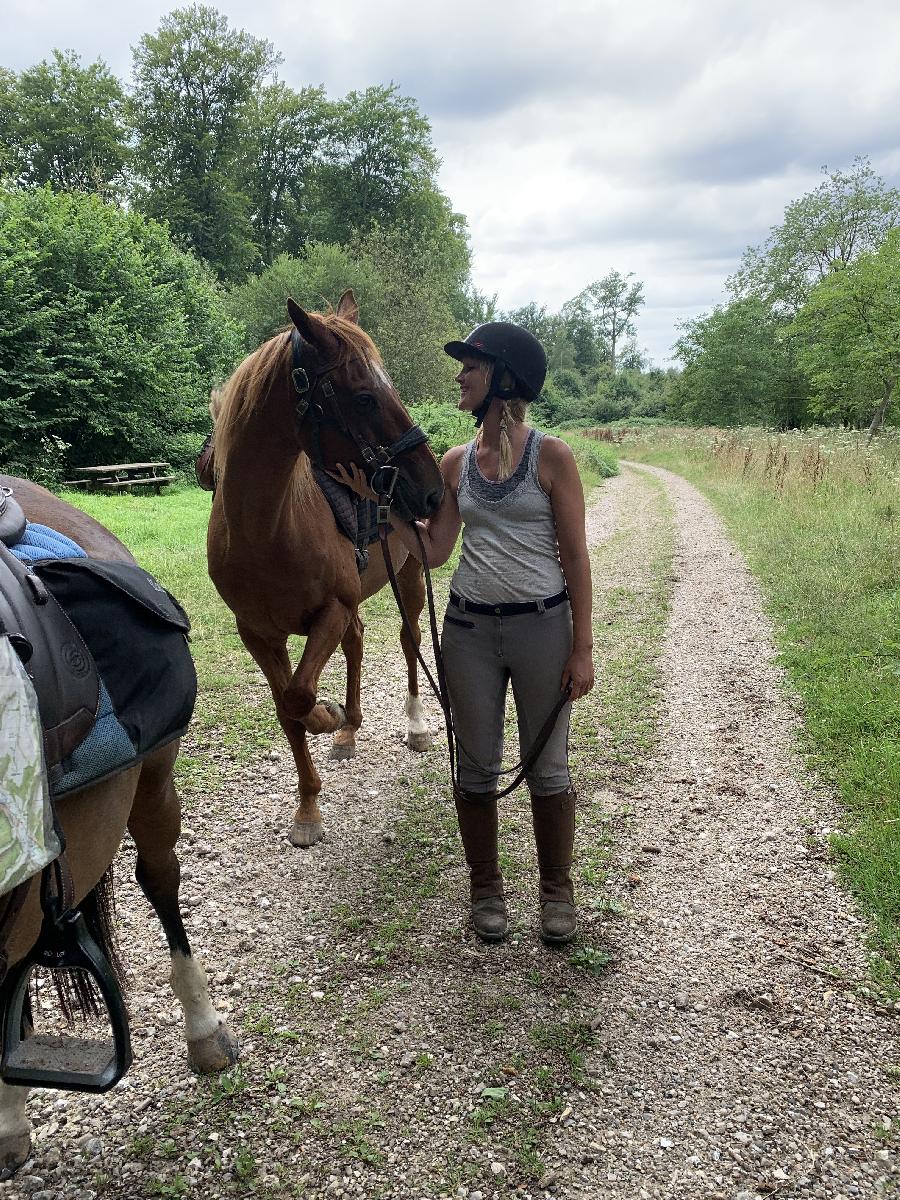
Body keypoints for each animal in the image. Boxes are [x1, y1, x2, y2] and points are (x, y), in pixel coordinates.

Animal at [205, 294, 444, 849]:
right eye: (364, 398)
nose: (432, 491)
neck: (267, 529)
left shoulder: (330, 611)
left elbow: (300, 695)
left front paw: (328, 715)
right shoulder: (258, 634)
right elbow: (287, 707)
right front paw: (308, 806)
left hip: (406, 579)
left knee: (410, 640)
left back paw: (415, 725)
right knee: (357, 642)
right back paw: (349, 728)